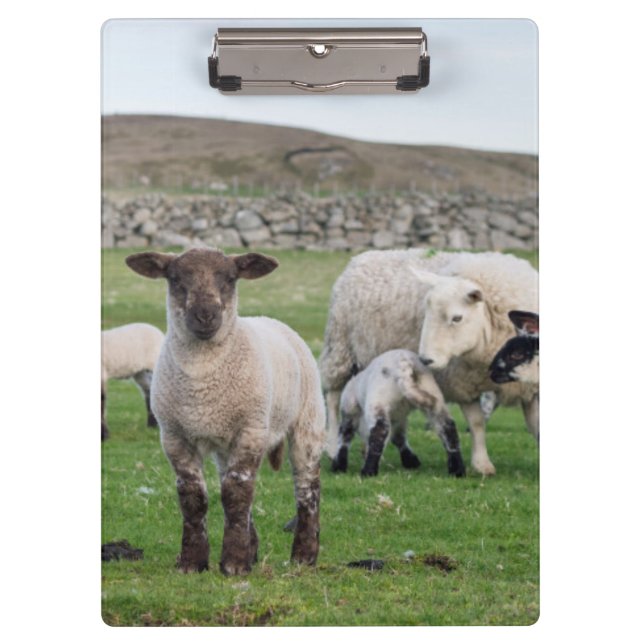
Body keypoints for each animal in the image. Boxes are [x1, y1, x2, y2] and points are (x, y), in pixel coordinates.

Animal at [125, 248, 325, 576]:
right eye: (175, 278)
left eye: (231, 278)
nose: (205, 315)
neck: (202, 381)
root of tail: (271, 320)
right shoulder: (174, 435)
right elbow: (194, 497)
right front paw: (193, 562)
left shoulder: (251, 429)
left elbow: (237, 493)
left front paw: (233, 563)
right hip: (225, 443)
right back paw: (254, 550)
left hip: (307, 421)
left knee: (307, 488)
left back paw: (304, 557)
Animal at [331, 349, 465, 477]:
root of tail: (405, 364)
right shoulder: (399, 418)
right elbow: (398, 437)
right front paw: (411, 461)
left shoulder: (349, 410)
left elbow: (344, 437)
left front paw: (338, 466)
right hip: (433, 395)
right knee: (448, 428)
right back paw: (457, 470)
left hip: (378, 401)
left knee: (379, 432)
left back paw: (368, 471)